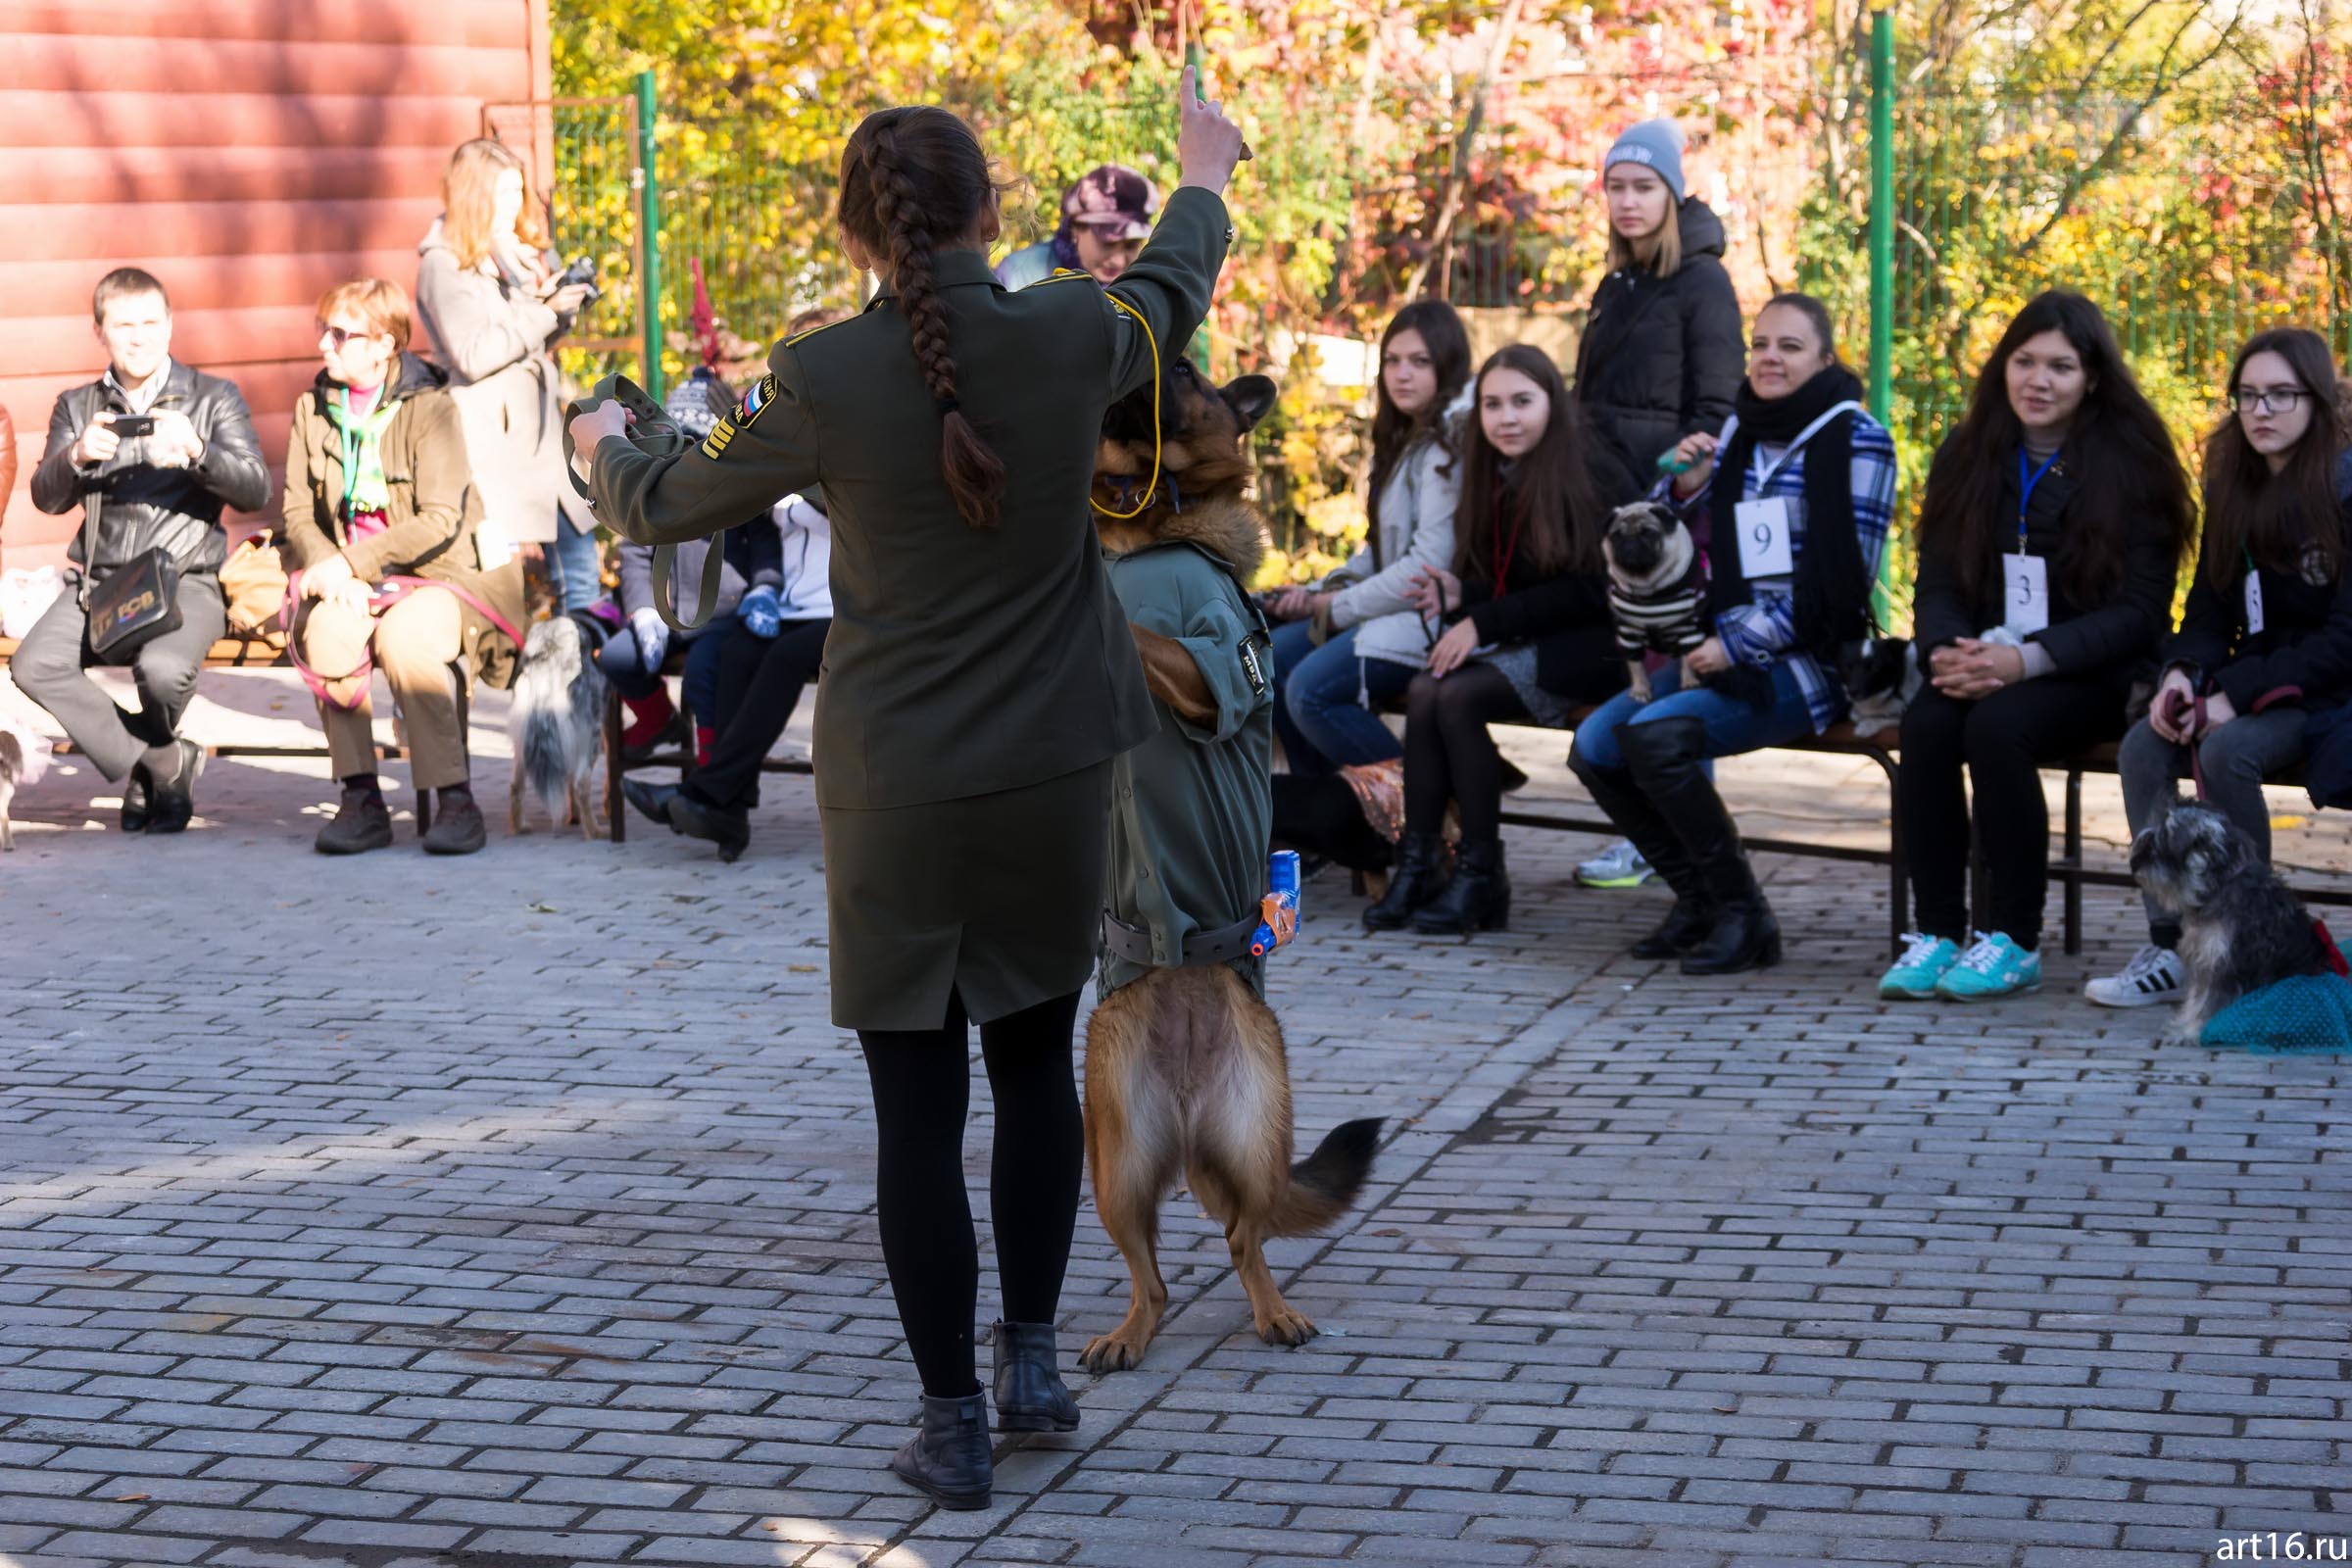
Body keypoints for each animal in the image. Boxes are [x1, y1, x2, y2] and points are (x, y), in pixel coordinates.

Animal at [1077, 360, 1373, 1372]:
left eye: (1183, 376)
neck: (1148, 526)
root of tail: (1188, 1099)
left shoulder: (1204, 667)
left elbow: (1141, 638)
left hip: (1251, 1139)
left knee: (1248, 1239)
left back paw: (1274, 1312)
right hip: (1116, 1165)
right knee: (1157, 1276)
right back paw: (1127, 1333)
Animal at [2126, 804, 2324, 1048]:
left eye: (2164, 840)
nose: (2134, 864)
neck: (2217, 887)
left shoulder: (2225, 966)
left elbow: (2209, 1005)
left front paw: (2191, 1033)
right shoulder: (2203, 961)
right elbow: (2196, 1000)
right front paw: (2183, 1025)